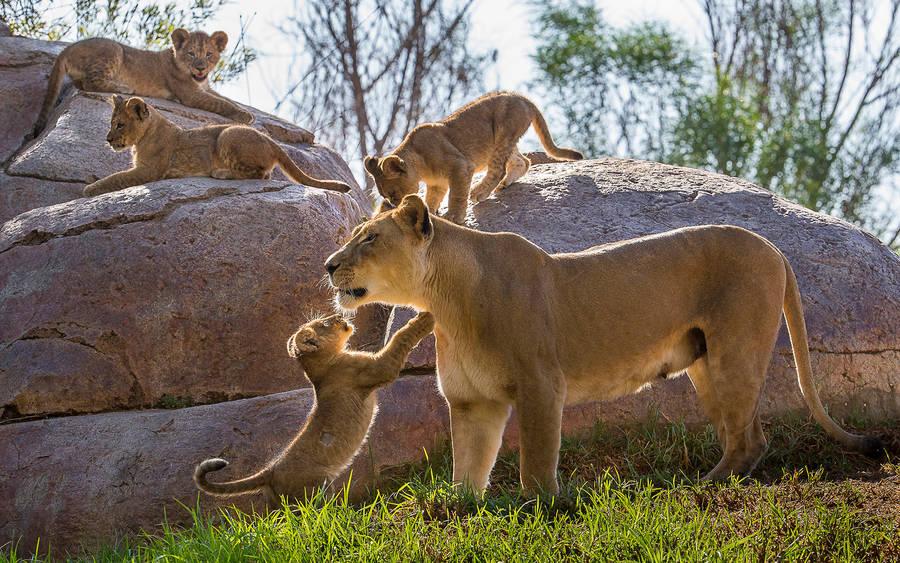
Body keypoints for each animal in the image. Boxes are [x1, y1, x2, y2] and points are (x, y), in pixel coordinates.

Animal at [33, 28, 254, 137]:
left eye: (209, 54)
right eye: (191, 54)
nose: (201, 68)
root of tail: (67, 48)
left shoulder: (205, 86)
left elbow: (225, 98)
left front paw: (244, 110)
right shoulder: (189, 94)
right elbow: (221, 103)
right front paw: (245, 115)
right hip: (115, 49)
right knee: (88, 82)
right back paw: (125, 87)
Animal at [82, 95, 350, 197]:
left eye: (119, 124)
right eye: (111, 123)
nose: (107, 139)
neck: (146, 133)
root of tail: (273, 142)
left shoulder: (149, 171)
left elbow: (115, 178)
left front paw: (88, 189)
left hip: (227, 135)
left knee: (261, 174)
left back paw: (220, 173)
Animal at [194, 311, 435, 507]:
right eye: (324, 323)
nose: (339, 315)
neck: (321, 367)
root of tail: (270, 471)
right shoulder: (375, 369)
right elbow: (399, 339)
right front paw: (424, 320)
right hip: (318, 487)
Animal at [323, 195, 884, 495]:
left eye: (369, 238)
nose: (328, 265)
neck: (446, 303)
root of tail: (775, 248)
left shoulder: (541, 384)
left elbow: (536, 460)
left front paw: (537, 507)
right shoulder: (471, 402)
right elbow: (469, 469)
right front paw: (460, 512)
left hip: (735, 353)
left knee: (747, 439)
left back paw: (702, 487)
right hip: (706, 365)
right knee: (749, 434)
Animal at [363, 91, 583, 224]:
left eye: (393, 193)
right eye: (386, 196)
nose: (393, 206)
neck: (420, 167)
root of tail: (522, 96)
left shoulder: (460, 166)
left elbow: (457, 194)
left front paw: (453, 217)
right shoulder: (437, 184)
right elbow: (432, 199)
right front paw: (430, 214)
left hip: (503, 130)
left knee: (498, 168)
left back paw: (480, 191)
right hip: (503, 141)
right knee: (524, 161)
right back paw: (504, 184)